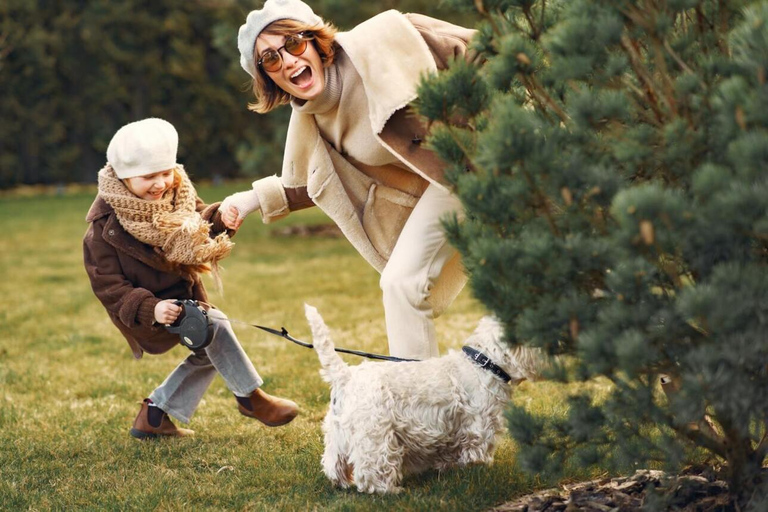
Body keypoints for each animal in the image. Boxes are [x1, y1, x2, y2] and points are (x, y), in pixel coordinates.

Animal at [304, 304, 544, 492]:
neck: (485, 363)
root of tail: (345, 376)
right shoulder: (480, 425)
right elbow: (477, 451)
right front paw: (480, 471)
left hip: (337, 433)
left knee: (333, 463)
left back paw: (343, 483)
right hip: (375, 435)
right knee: (371, 471)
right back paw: (390, 491)